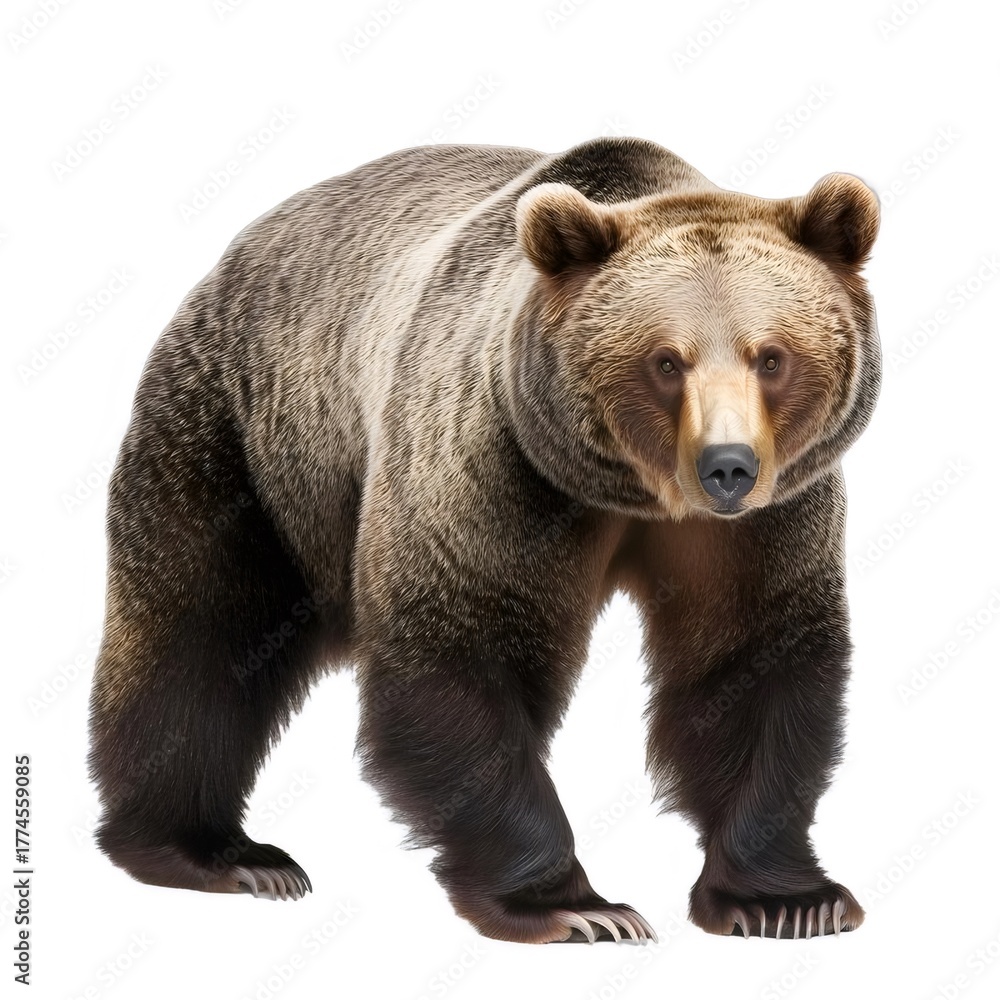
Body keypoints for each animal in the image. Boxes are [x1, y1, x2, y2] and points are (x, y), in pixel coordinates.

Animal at [88, 136, 880, 944]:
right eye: (666, 360)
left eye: (771, 356)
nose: (727, 467)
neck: (635, 495)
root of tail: (236, 250)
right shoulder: (496, 469)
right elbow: (462, 652)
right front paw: (576, 906)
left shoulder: (767, 521)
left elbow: (751, 661)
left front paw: (786, 900)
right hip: (249, 443)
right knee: (202, 633)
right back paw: (218, 853)